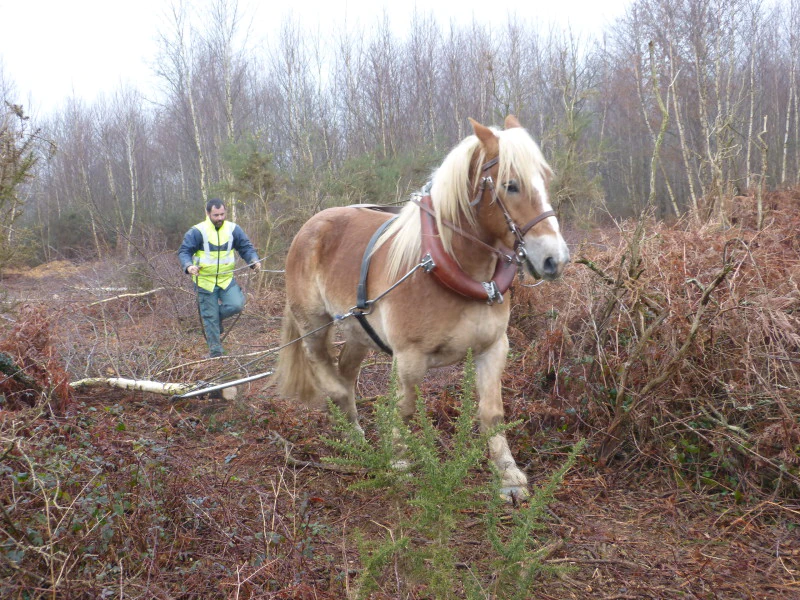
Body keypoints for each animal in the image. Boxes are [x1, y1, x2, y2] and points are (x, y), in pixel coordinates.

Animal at [278, 113, 572, 496]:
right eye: (511, 185)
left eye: (546, 178)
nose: (555, 259)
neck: (455, 270)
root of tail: (309, 227)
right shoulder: (409, 358)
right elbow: (403, 408)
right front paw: (399, 464)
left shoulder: (494, 347)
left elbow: (492, 412)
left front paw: (508, 476)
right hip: (313, 326)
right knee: (329, 377)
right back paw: (350, 428)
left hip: (358, 332)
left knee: (346, 372)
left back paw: (353, 431)